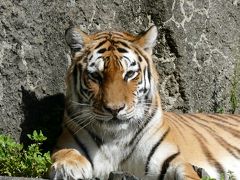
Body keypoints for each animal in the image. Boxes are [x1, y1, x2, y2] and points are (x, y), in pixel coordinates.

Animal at [49, 25, 240, 180]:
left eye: (129, 74)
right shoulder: (66, 141)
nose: (115, 109)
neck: (115, 138)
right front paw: (69, 168)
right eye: (96, 76)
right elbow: (64, 153)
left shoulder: (171, 160)